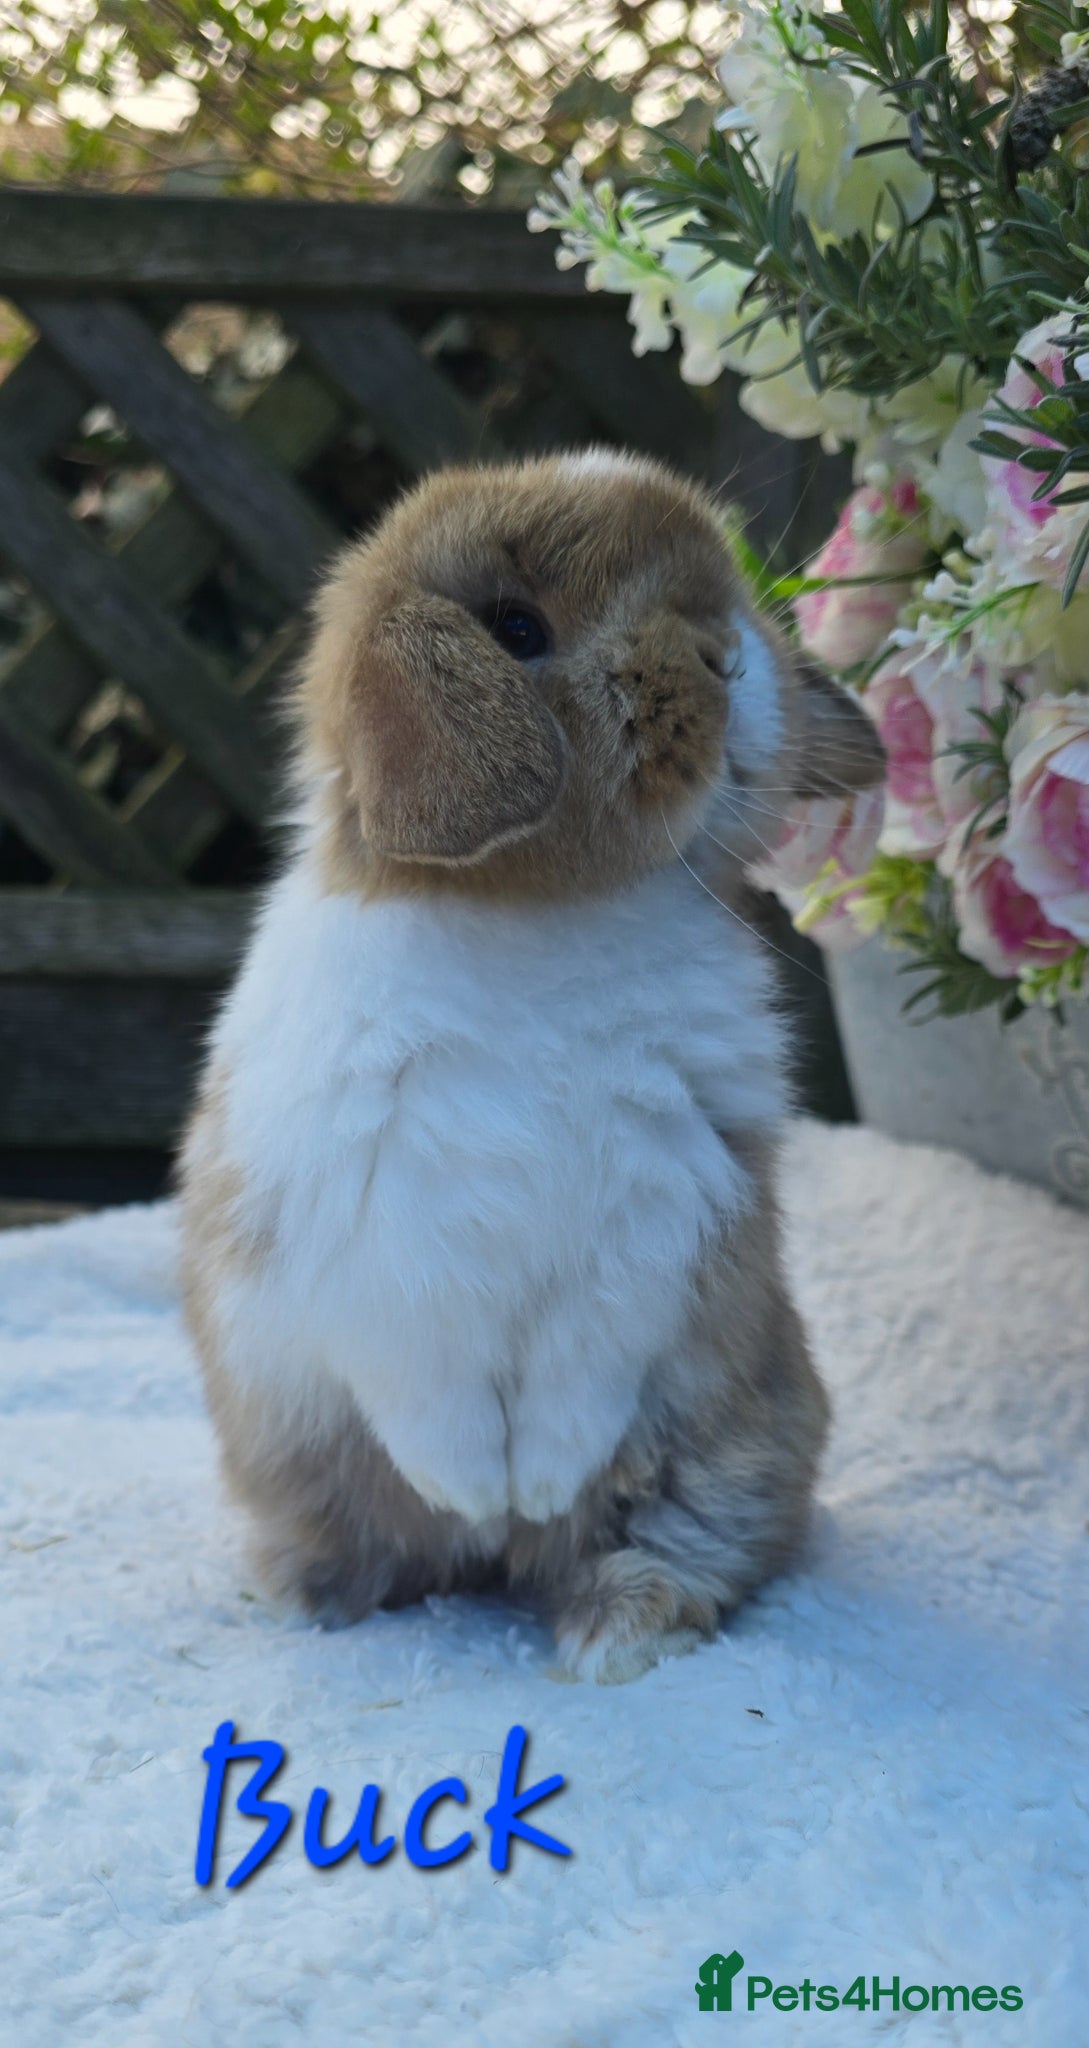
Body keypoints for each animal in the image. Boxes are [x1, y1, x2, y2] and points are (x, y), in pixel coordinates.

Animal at [179, 448, 884, 1684]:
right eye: (516, 627)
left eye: (730, 596)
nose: (727, 653)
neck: (547, 919)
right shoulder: (372, 1232)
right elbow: (430, 1390)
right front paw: (473, 1488)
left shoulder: (660, 1214)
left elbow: (579, 1377)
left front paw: (540, 1485)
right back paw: (314, 1594)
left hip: (734, 1452)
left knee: (682, 1549)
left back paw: (610, 1630)